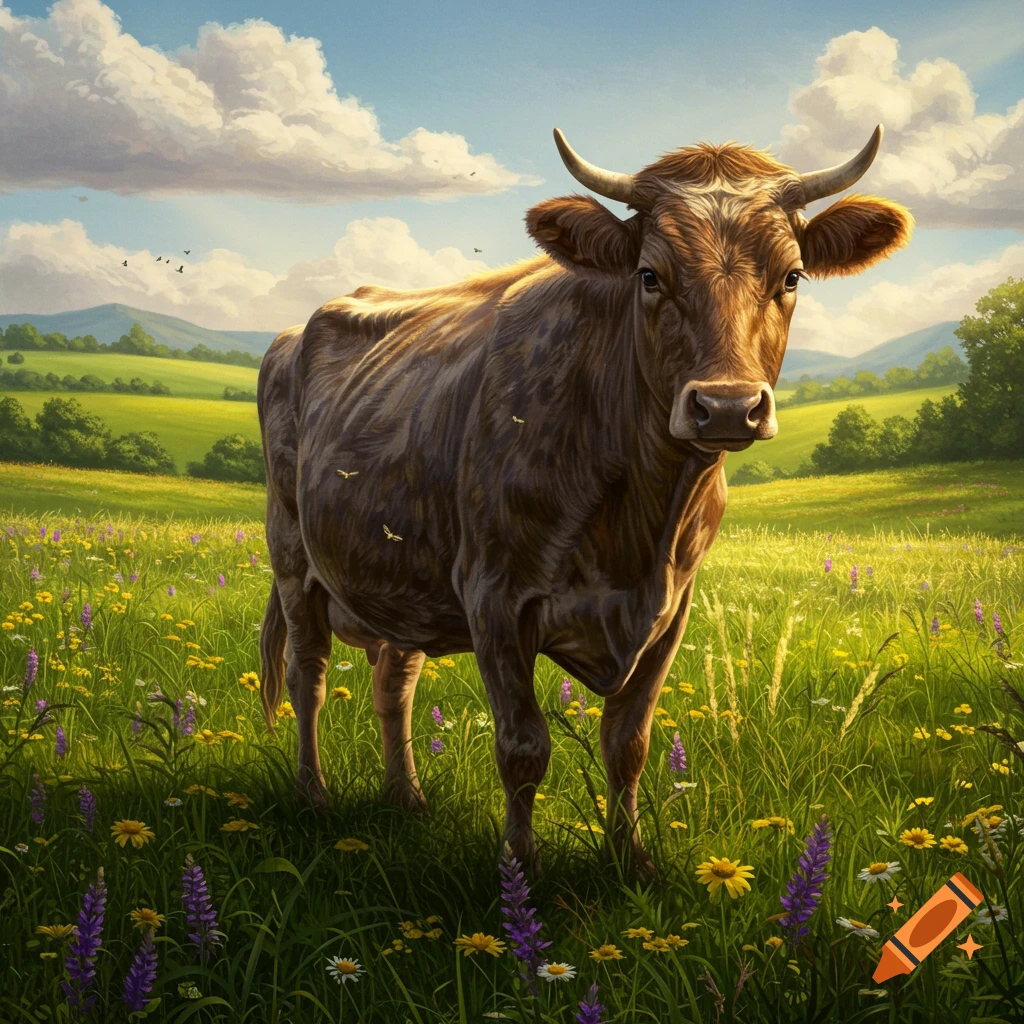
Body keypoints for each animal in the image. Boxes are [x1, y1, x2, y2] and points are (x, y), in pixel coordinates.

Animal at [257, 124, 913, 877]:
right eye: (649, 275)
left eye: (792, 277)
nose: (726, 406)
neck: (639, 522)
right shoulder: (493, 596)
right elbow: (523, 748)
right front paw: (522, 871)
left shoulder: (671, 609)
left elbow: (628, 742)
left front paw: (630, 861)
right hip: (293, 557)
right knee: (307, 674)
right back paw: (313, 796)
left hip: (404, 570)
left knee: (395, 680)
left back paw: (407, 798)